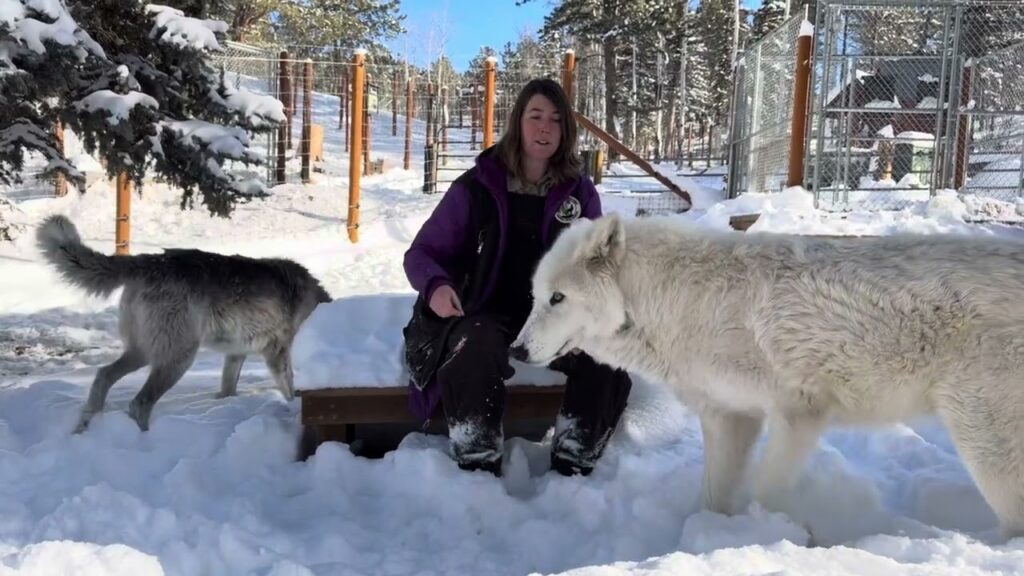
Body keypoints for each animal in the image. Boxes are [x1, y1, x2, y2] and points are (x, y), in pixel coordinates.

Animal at [36, 215, 331, 432]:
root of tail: (149, 260)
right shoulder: (277, 354)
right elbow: (290, 389)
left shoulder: (236, 354)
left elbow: (228, 389)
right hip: (178, 359)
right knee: (139, 403)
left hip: (145, 353)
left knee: (102, 377)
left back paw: (84, 429)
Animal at [510, 212, 1024, 539]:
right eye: (536, 296)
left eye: (557, 298)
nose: (516, 350)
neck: (671, 303)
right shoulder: (730, 418)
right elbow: (714, 497)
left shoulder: (799, 416)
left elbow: (765, 488)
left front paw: (788, 534)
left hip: (985, 446)